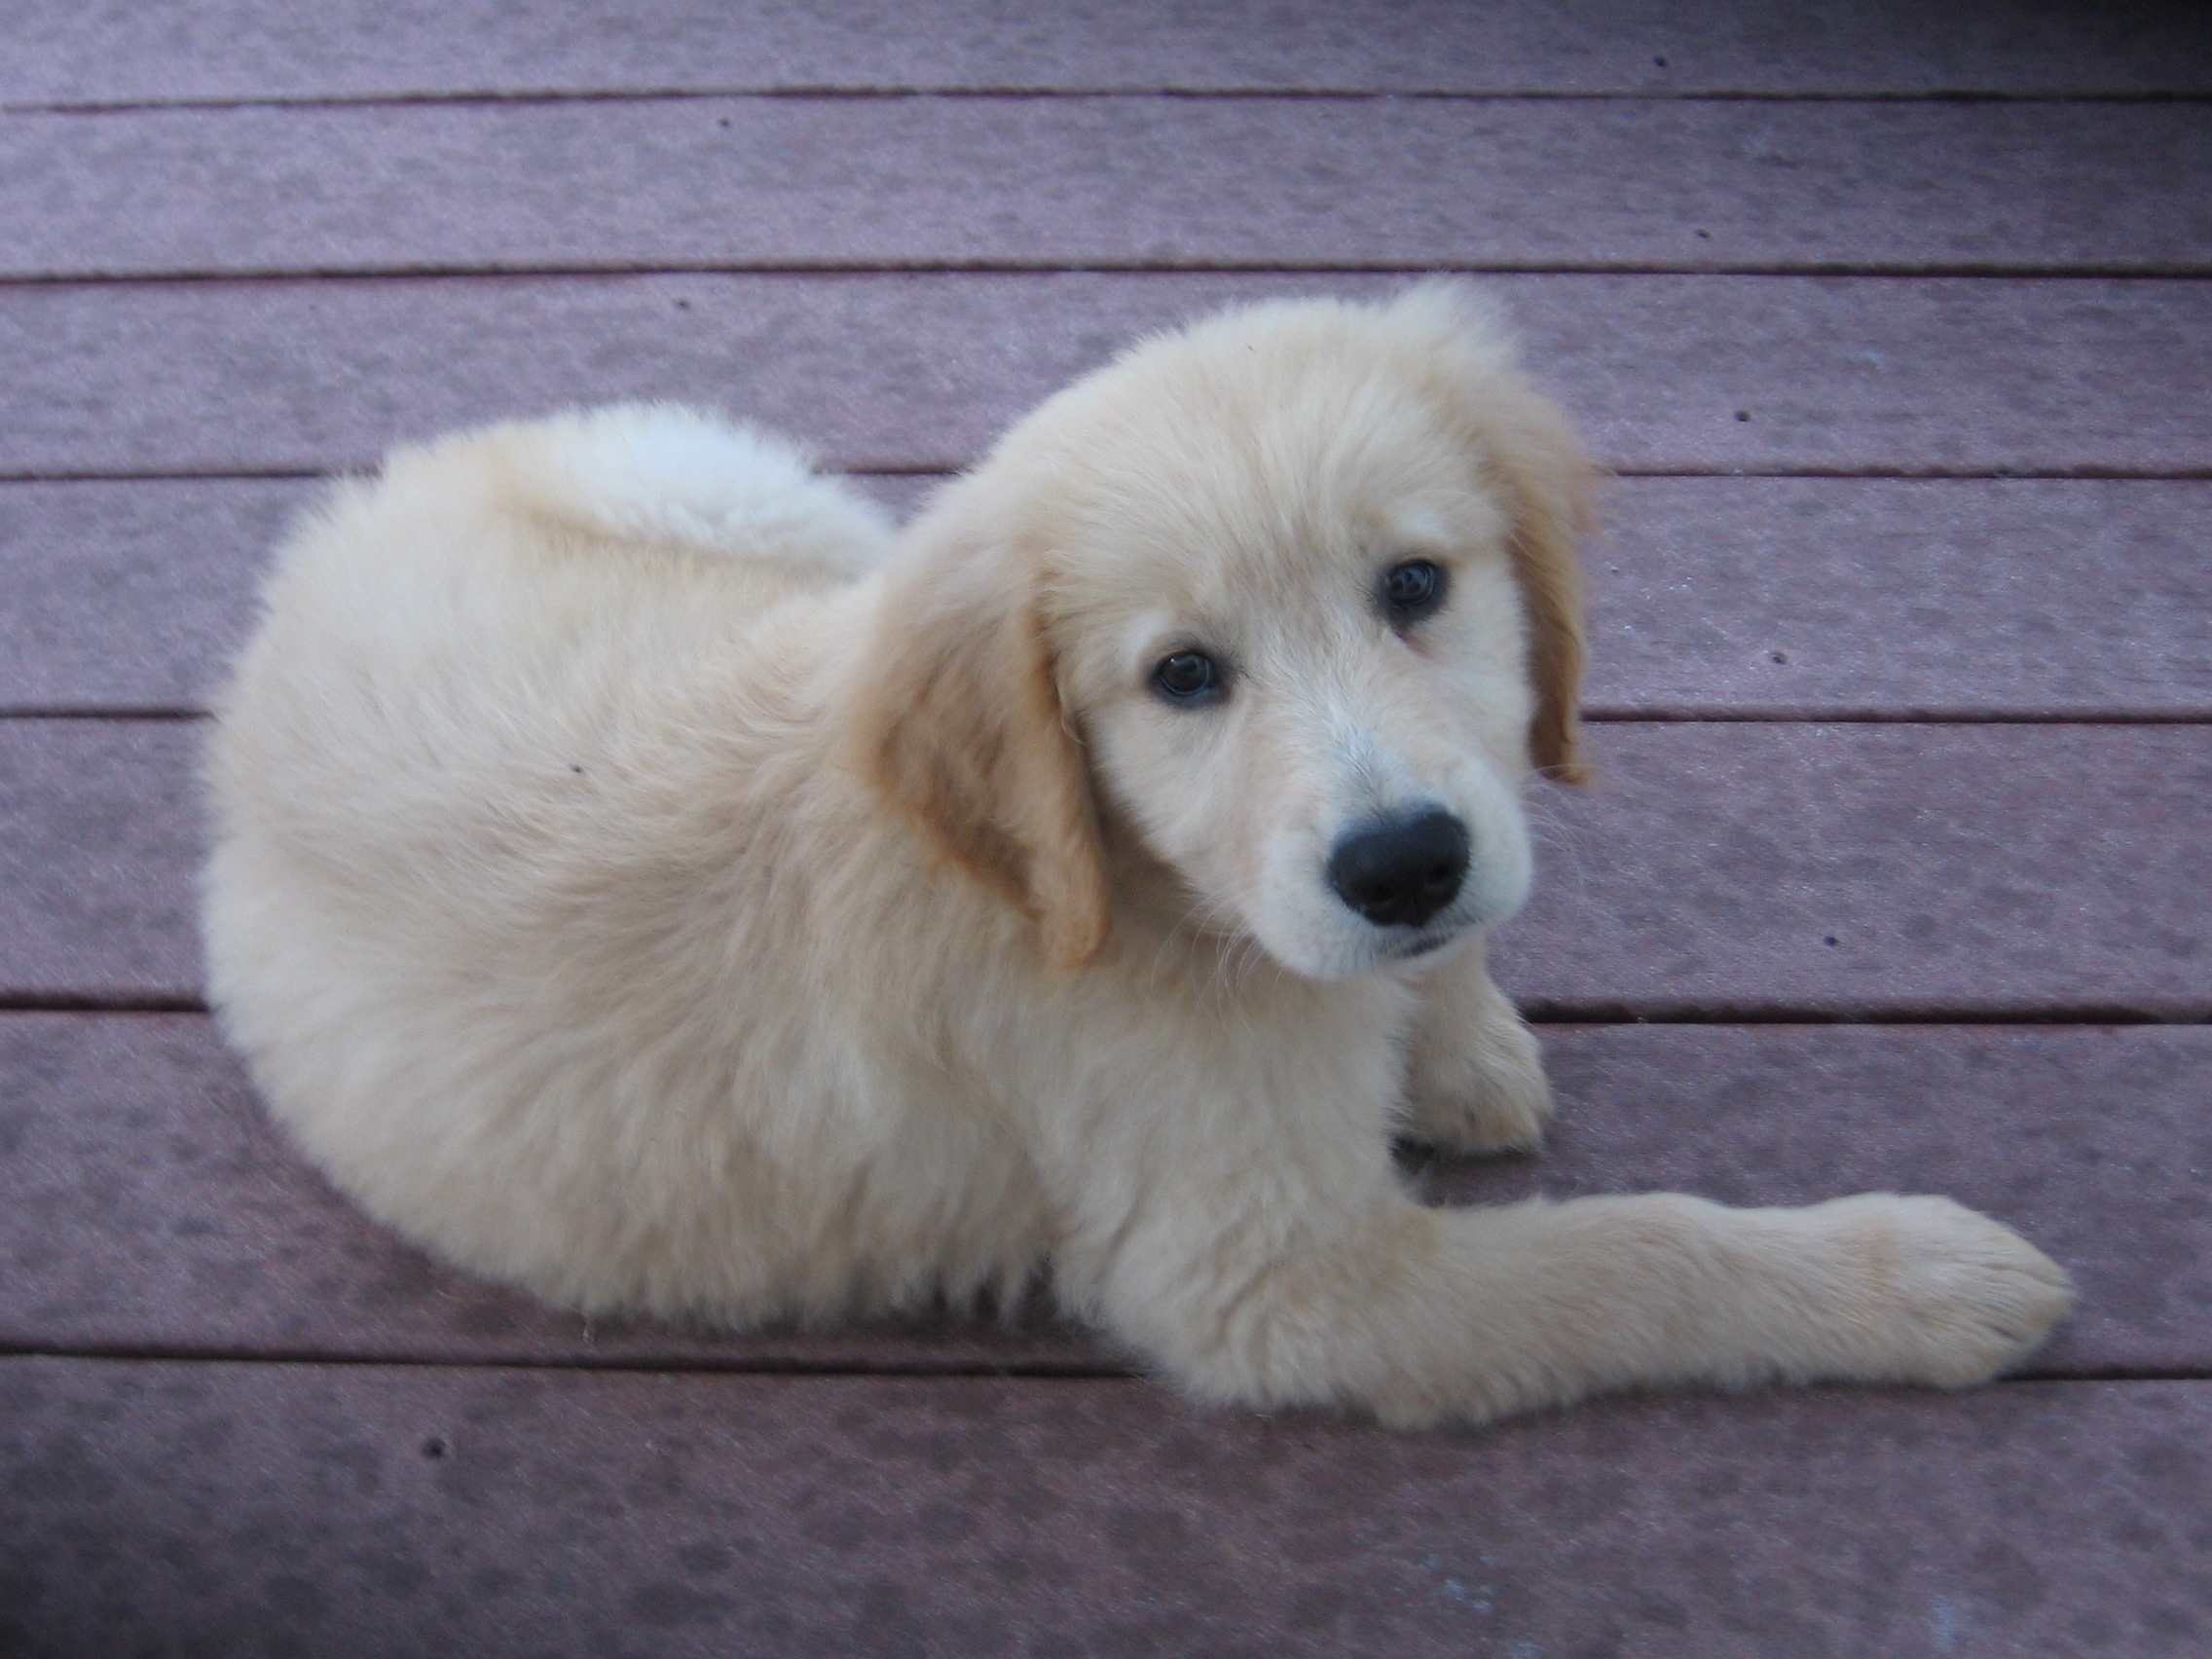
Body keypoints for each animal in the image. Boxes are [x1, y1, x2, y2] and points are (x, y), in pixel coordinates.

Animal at [207, 285, 2070, 1433]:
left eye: (1416, 586)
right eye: (1182, 678)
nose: (1402, 864)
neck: (1143, 894)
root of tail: (302, 577)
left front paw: (1457, 1032)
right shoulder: (1282, 1281)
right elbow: (1634, 1254)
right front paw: (1910, 1278)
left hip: (763, 504)